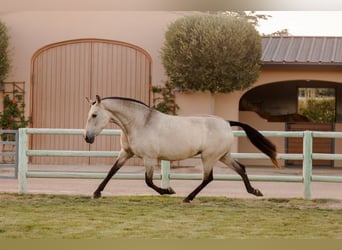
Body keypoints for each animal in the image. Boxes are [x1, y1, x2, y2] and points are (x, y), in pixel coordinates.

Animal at [84, 94, 280, 202]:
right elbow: (111, 171)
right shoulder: (126, 153)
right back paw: (255, 191)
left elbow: (148, 181)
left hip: (209, 157)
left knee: (208, 178)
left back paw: (188, 198)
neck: (140, 122)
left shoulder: (149, 158)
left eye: (94, 115)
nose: (87, 138)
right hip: (223, 155)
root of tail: (226, 122)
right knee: (240, 168)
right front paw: (96, 192)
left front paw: (168, 191)